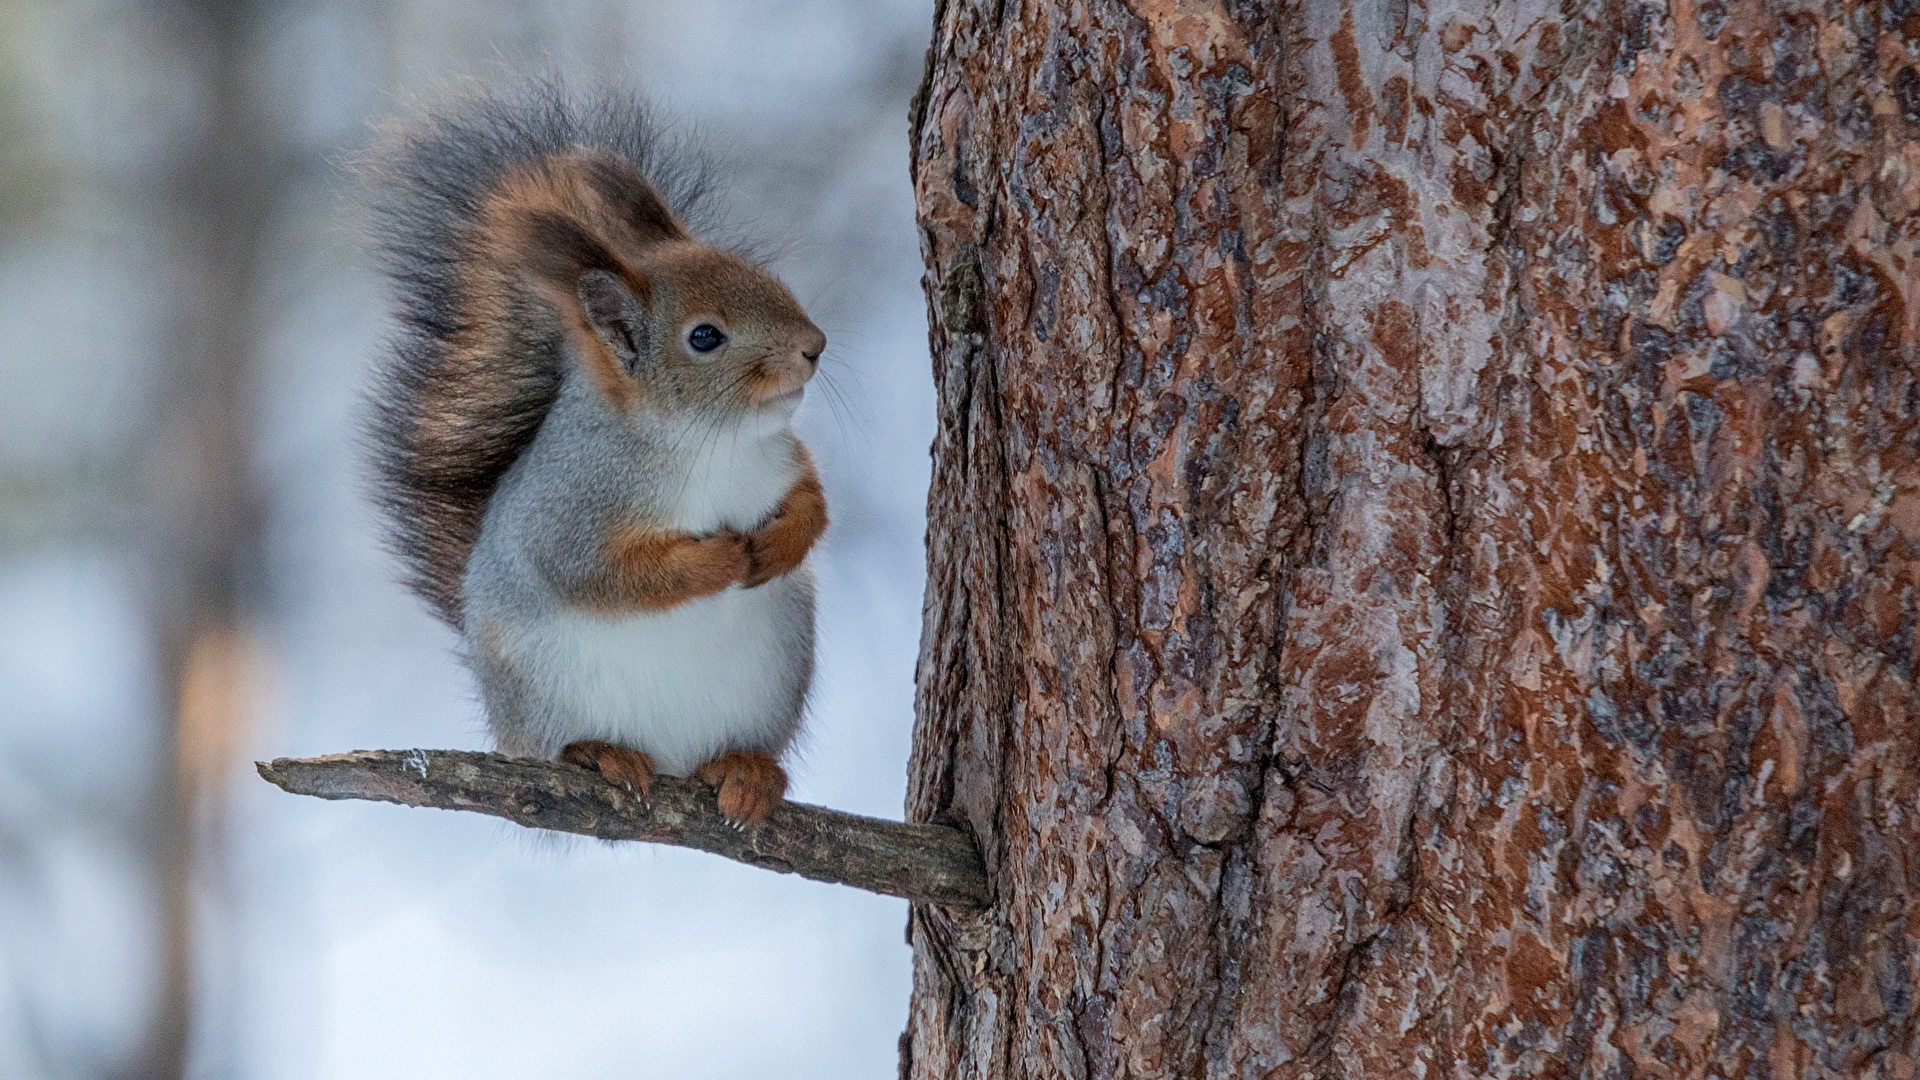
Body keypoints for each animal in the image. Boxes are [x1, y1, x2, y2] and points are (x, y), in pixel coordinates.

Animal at [360, 88, 825, 818]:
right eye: (705, 337)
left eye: (761, 275)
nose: (814, 346)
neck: (706, 440)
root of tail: (672, 757)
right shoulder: (570, 510)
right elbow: (602, 575)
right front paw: (718, 557)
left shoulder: (784, 459)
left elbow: (814, 501)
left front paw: (783, 542)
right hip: (544, 692)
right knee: (560, 745)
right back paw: (599, 752)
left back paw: (747, 770)